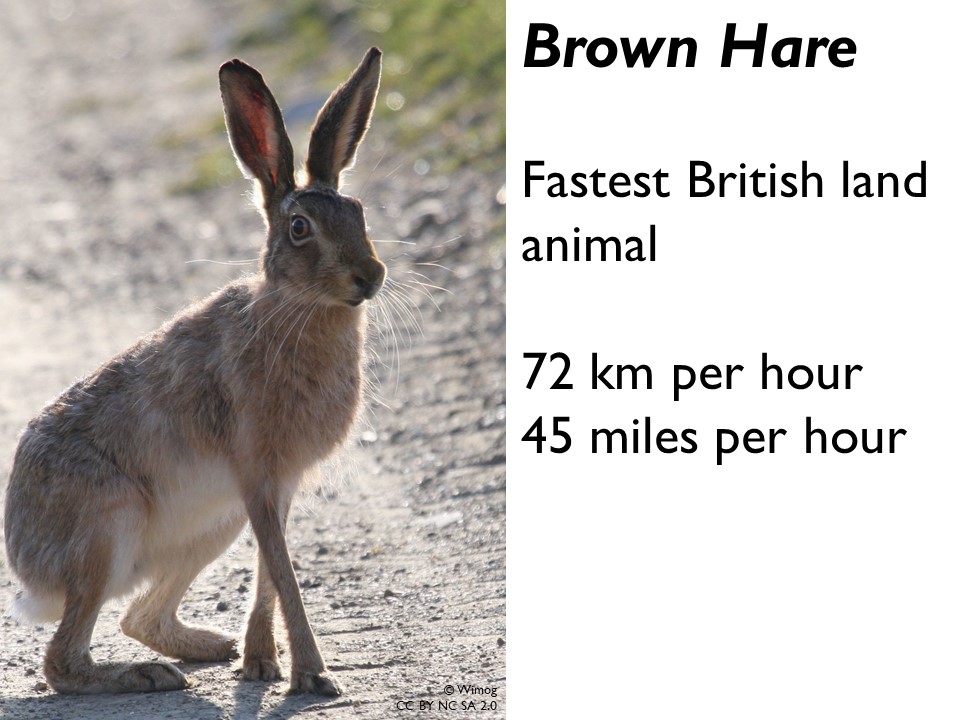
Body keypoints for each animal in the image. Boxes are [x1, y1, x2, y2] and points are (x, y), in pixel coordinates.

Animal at [3, 47, 386, 696]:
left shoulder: (273, 488)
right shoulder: (257, 473)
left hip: (210, 523)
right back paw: (146, 676)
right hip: (109, 527)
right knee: (63, 661)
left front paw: (261, 664)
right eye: (300, 229)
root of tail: (29, 568)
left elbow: (271, 571)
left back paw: (211, 647)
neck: (295, 309)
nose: (371, 276)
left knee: (138, 616)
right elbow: (284, 574)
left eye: (359, 212)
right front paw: (313, 675)